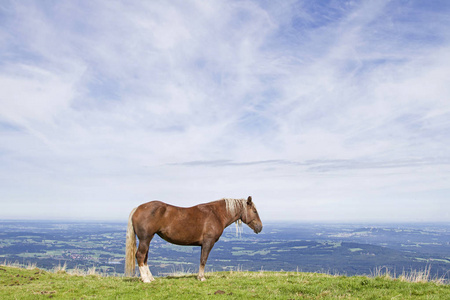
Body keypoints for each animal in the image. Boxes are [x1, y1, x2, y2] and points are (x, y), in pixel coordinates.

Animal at [125, 196, 262, 282]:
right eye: (255, 211)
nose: (260, 227)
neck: (216, 214)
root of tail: (138, 208)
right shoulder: (208, 242)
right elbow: (203, 259)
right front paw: (201, 277)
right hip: (145, 239)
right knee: (140, 255)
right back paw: (146, 280)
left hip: (147, 239)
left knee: (145, 257)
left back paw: (150, 278)